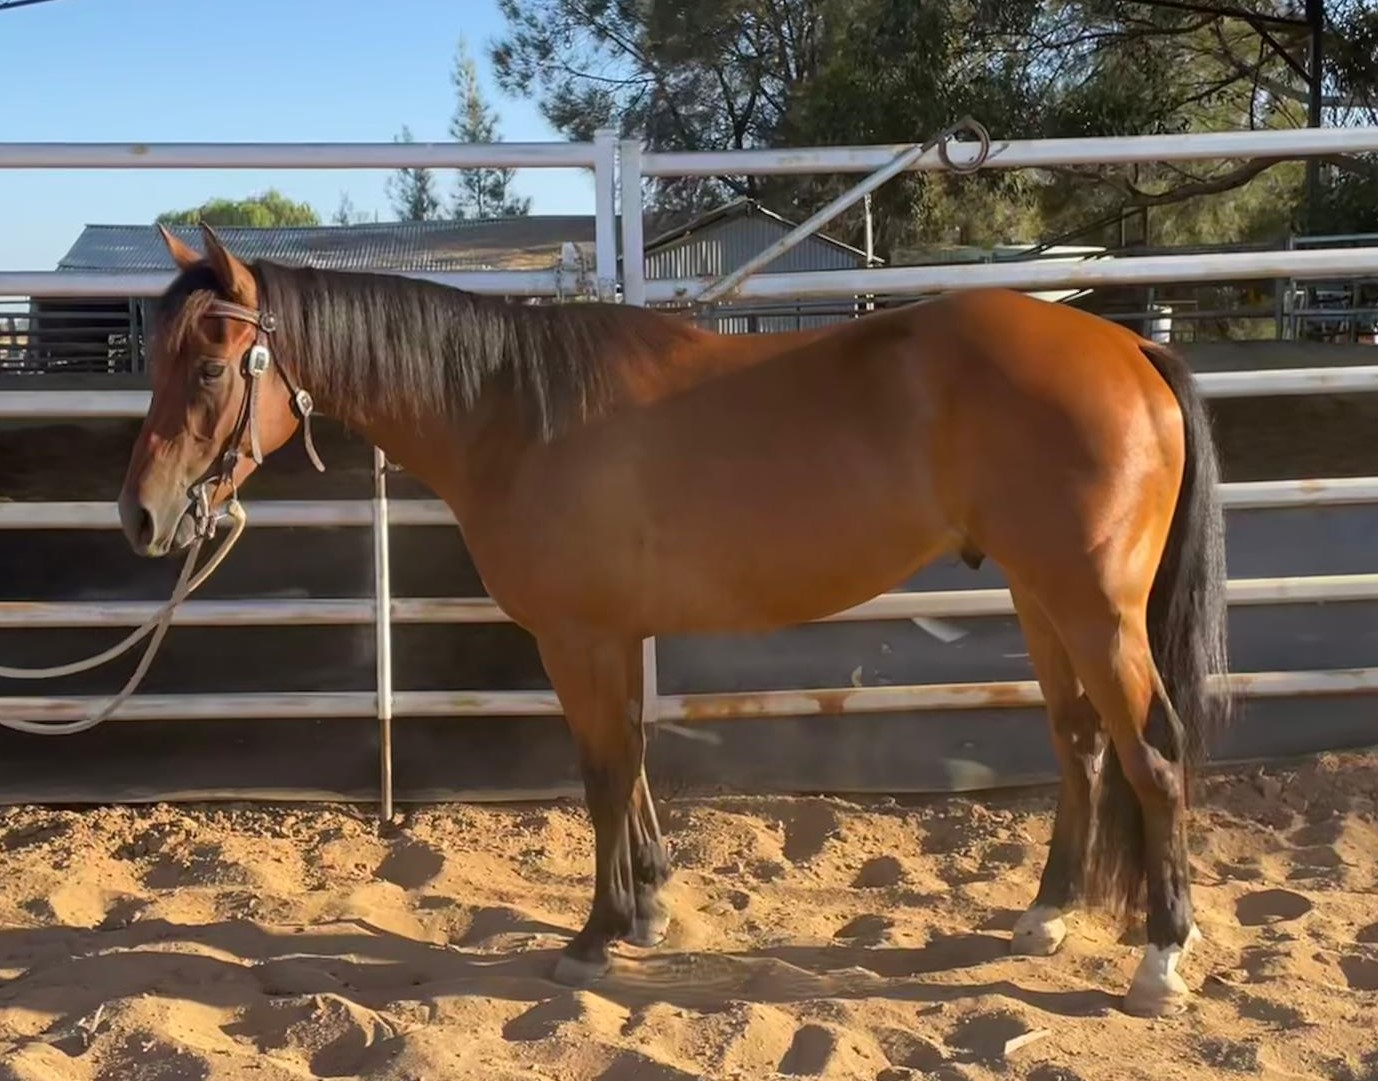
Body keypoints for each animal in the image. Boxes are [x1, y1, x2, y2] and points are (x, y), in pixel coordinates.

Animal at [118, 223, 1231, 1018]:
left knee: (1155, 754)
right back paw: (1046, 918)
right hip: (1040, 598)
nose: (141, 516)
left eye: (207, 369)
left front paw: (597, 934)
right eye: (155, 363)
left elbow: (603, 771)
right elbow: (636, 760)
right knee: (1081, 741)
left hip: (1094, 610)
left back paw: (1159, 959)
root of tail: (1130, 345)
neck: (514, 414)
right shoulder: (615, 636)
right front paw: (649, 902)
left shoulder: (578, 639)